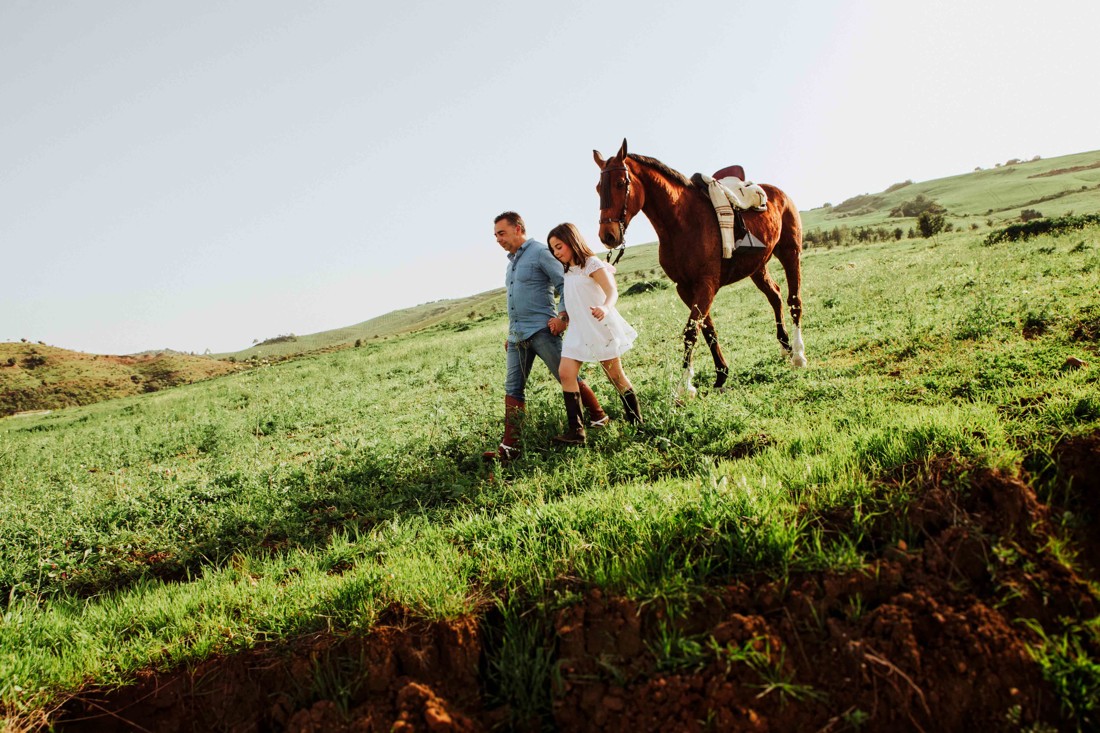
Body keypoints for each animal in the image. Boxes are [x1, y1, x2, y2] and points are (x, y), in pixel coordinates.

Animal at [594, 139, 806, 398]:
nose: (608, 235)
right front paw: (721, 374)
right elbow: (707, 329)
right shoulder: (685, 288)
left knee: (794, 300)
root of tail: (778, 193)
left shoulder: (706, 285)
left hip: (790, 253)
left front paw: (684, 386)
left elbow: (691, 331)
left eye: (620, 183)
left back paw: (798, 354)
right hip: (757, 267)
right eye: (598, 187)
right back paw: (785, 346)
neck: (682, 221)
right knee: (775, 296)